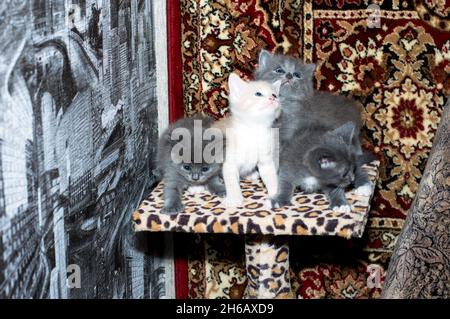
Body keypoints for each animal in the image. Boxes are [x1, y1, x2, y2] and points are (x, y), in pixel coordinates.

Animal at [214, 73, 282, 208]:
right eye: (258, 94)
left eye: (274, 95)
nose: (272, 99)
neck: (254, 129)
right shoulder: (229, 162)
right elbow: (232, 182)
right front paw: (234, 198)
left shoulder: (266, 161)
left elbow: (271, 178)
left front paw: (275, 196)